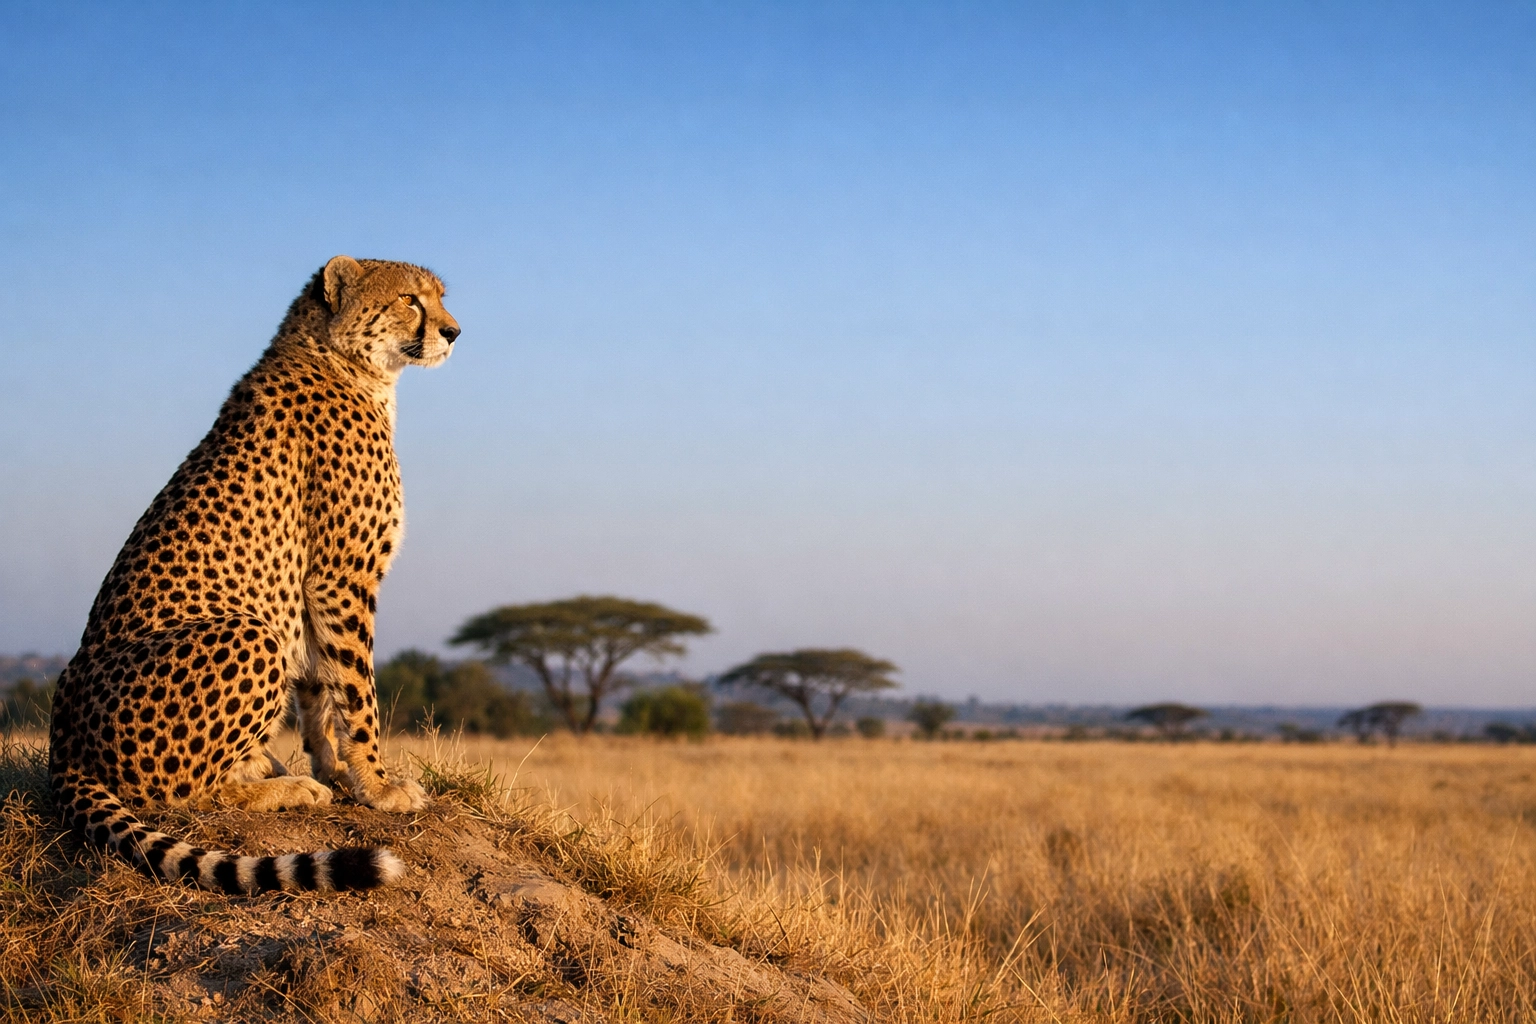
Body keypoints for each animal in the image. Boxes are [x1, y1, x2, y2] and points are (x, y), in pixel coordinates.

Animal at [48, 256, 460, 893]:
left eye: (439, 296)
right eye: (409, 300)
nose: (454, 331)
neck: (340, 360)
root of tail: (60, 739)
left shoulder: (311, 590)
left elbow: (319, 688)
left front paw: (335, 767)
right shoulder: (342, 578)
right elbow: (358, 692)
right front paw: (378, 785)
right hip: (249, 632)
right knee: (179, 795)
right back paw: (285, 787)